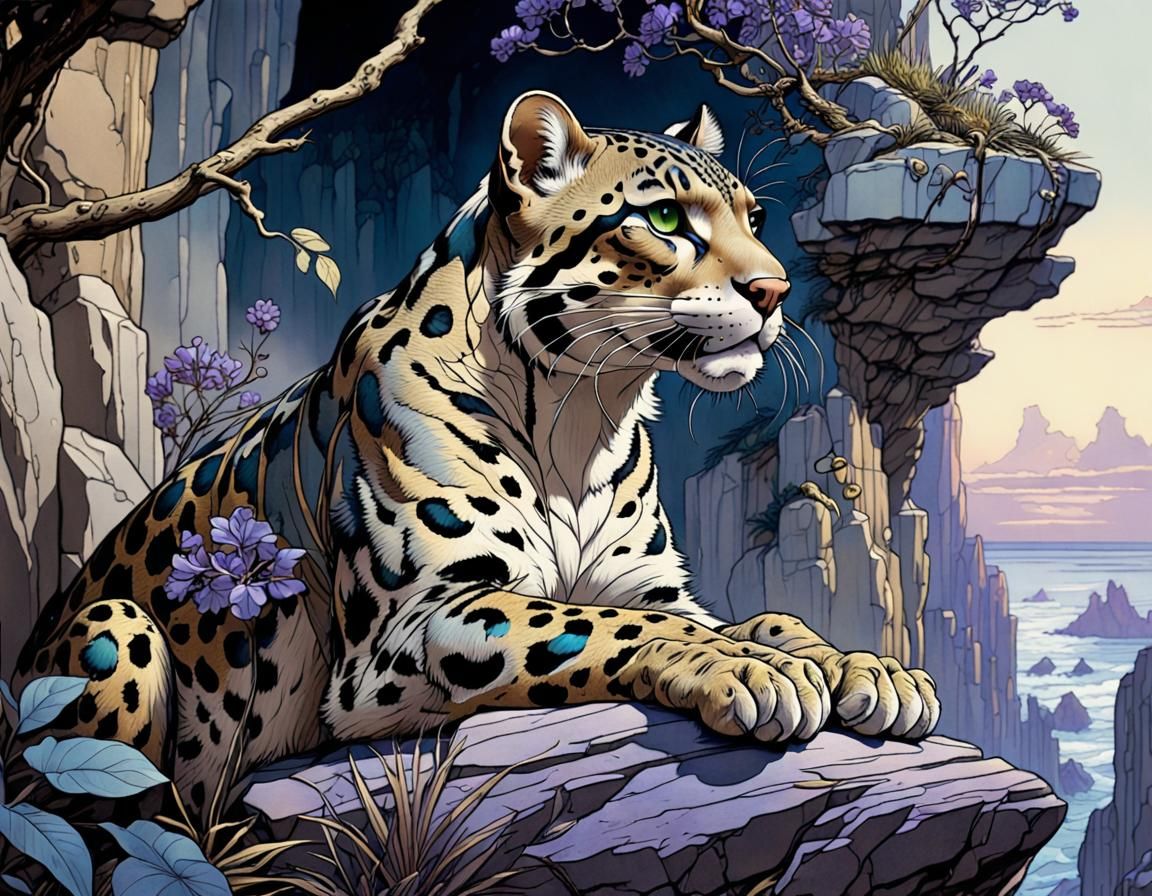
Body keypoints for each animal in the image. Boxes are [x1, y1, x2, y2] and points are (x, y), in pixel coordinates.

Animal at [12, 91, 939, 817]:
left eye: (754, 218)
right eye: (665, 220)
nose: (773, 290)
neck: (580, 421)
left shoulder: (649, 583)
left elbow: (760, 615)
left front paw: (863, 667)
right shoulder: (412, 627)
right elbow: (607, 627)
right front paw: (750, 671)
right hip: (114, 626)